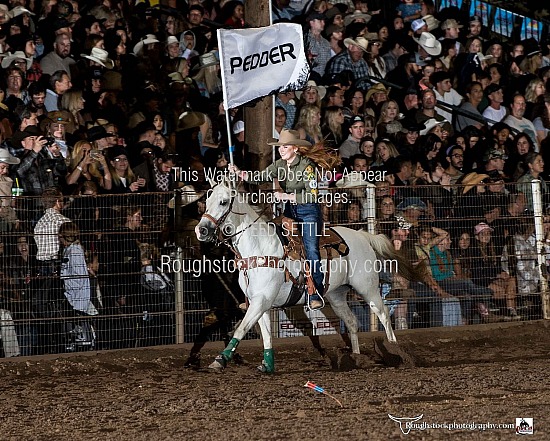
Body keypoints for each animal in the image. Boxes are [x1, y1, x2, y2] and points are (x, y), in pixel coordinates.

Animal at [196, 179, 416, 372]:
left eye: (224, 201)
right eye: (207, 201)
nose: (202, 230)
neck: (260, 248)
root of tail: (362, 235)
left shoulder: (261, 300)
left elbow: (241, 329)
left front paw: (219, 360)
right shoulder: (260, 303)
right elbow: (266, 336)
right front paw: (267, 365)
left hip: (367, 288)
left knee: (383, 314)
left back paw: (395, 351)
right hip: (336, 295)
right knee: (352, 322)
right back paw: (356, 357)